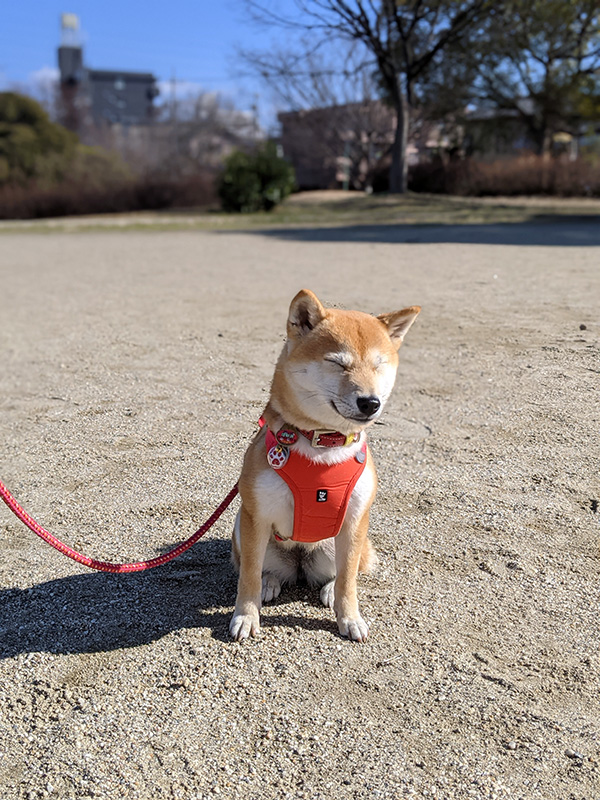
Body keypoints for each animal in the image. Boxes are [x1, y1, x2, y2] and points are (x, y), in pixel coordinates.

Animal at [227, 290, 420, 640]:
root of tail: (300, 565)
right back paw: (268, 583)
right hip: (241, 527)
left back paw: (328, 590)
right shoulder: (255, 516)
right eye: (337, 363)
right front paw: (246, 616)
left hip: (341, 544)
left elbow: (348, 580)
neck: (322, 442)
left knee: (345, 572)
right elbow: (248, 574)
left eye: (378, 365)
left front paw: (350, 617)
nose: (370, 402)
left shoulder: (355, 520)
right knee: (264, 568)